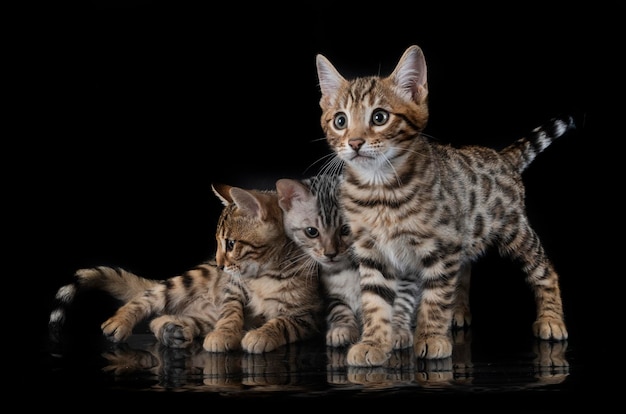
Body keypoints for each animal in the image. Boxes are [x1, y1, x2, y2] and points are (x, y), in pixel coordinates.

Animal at [49, 183, 324, 354]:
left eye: (231, 244)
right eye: (218, 242)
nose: (220, 264)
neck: (264, 274)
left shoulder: (307, 315)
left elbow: (282, 323)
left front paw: (261, 335)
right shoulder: (233, 289)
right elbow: (231, 312)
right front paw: (225, 334)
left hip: (204, 313)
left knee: (163, 319)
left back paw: (173, 330)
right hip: (189, 280)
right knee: (149, 298)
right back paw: (121, 321)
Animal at [314, 44, 572, 366]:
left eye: (379, 117)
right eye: (340, 121)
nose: (355, 142)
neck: (380, 191)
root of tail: (501, 156)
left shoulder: (441, 246)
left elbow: (434, 296)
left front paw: (431, 337)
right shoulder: (372, 252)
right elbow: (375, 300)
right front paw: (373, 342)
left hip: (515, 230)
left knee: (544, 269)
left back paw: (552, 320)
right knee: (464, 269)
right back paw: (458, 311)